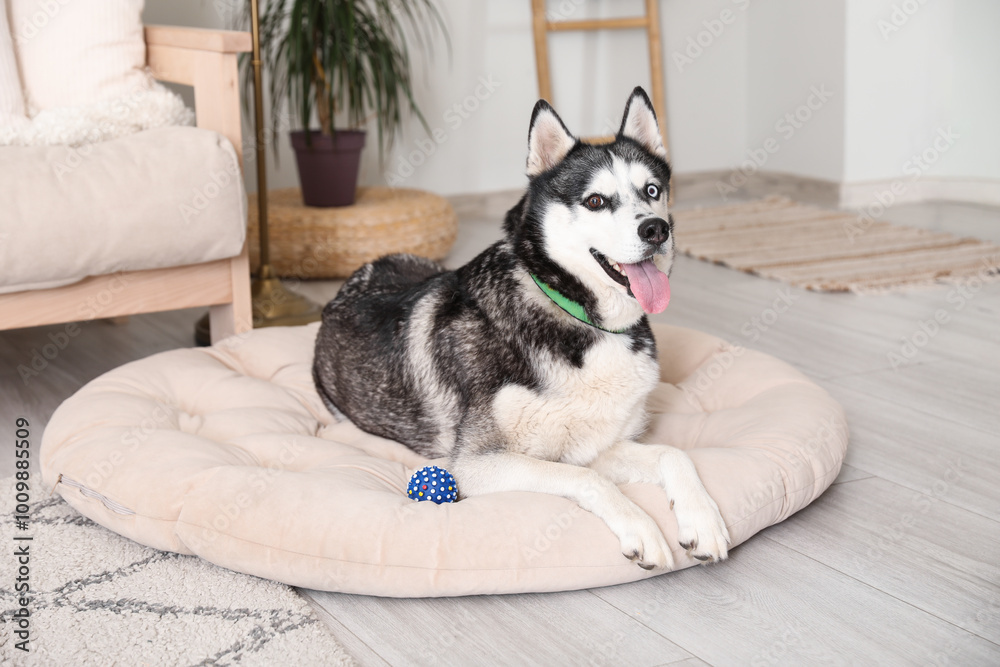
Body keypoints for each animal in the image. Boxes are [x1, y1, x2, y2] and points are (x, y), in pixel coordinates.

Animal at [316, 87, 732, 568]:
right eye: (595, 201)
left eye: (652, 190)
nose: (656, 229)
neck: (576, 313)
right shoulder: (476, 465)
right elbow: (586, 479)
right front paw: (642, 528)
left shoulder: (596, 446)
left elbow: (674, 454)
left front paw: (702, 520)